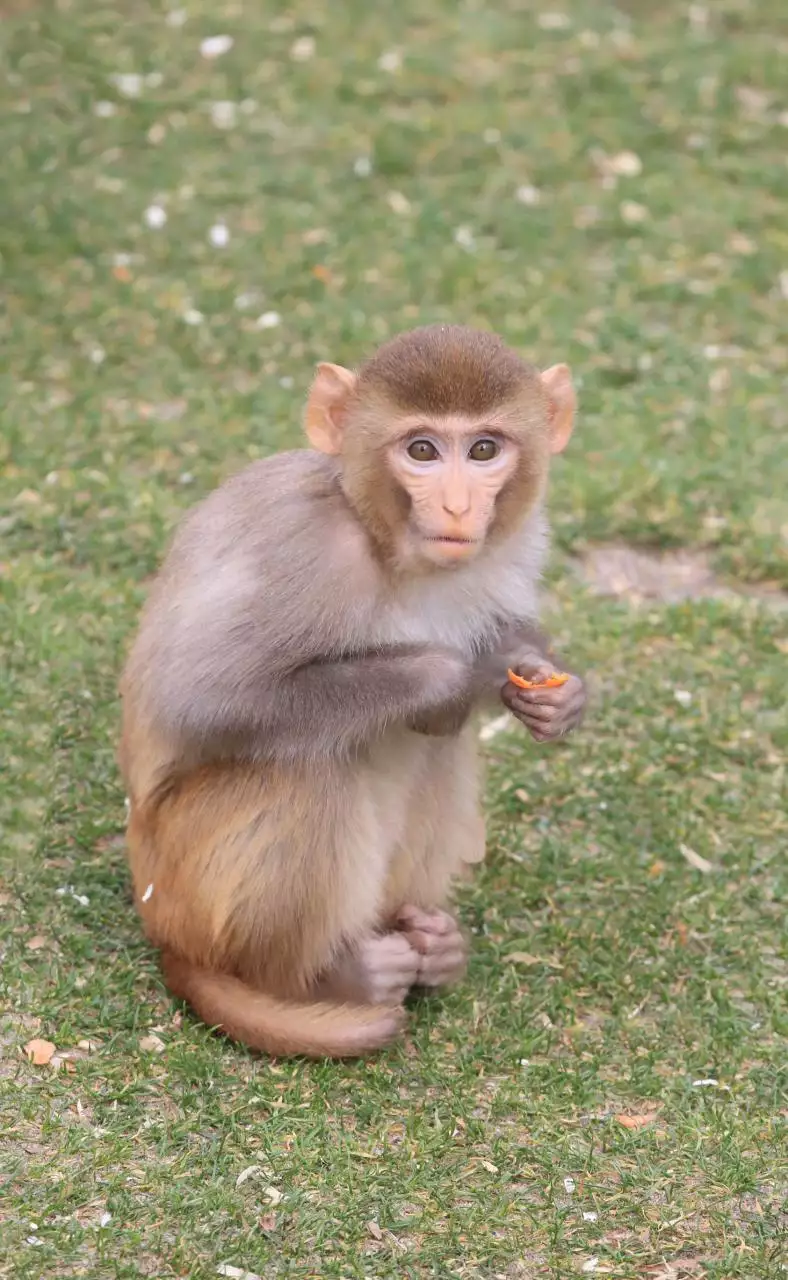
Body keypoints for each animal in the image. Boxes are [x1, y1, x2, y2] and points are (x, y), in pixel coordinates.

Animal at [117, 322, 585, 1059]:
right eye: (421, 450)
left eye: (483, 449)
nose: (457, 506)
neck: (387, 541)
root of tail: (161, 927)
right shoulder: (303, 548)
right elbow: (198, 697)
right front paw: (455, 677)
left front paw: (550, 688)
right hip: (184, 888)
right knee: (307, 764)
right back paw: (328, 976)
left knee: (436, 752)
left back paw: (428, 942)